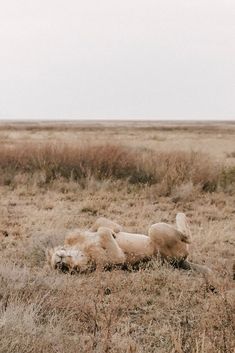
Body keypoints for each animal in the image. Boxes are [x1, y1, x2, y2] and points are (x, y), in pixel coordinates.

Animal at [46, 213, 211, 274]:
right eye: (63, 269)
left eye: (57, 265)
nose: (60, 261)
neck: (80, 249)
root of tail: (181, 261)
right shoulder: (112, 260)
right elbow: (106, 235)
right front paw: (110, 232)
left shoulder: (74, 236)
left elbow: (100, 223)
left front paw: (112, 230)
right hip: (156, 230)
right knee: (187, 236)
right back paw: (180, 215)